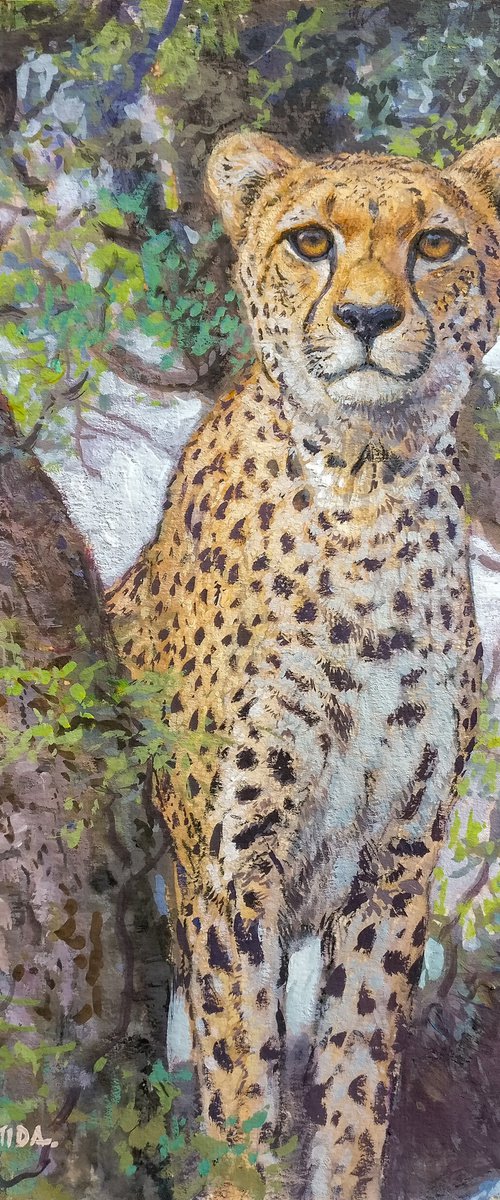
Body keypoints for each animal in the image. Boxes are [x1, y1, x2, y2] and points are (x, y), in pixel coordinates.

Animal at [105, 133, 500, 1200]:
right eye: (311, 240)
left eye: (437, 242)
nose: (368, 318)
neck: (369, 486)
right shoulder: (231, 872)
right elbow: (241, 1079)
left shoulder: (396, 868)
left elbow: (359, 1077)